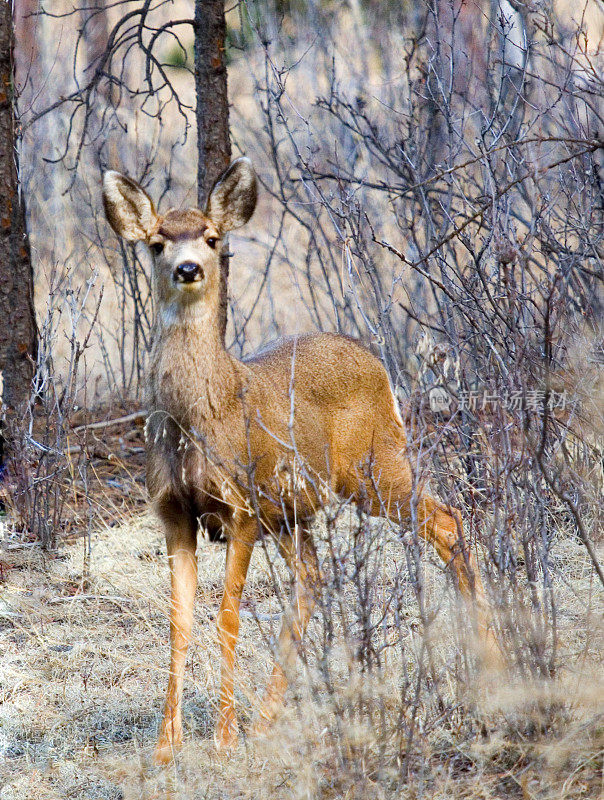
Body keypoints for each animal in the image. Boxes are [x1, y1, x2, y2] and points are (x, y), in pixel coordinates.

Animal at [102, 156, 500, 764]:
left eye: (212, 237)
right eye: (156, 242)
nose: (189, 268)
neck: (203, 416)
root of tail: (377, 363)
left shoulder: (242, 506)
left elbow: (228, 617)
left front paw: (223, 741)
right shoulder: (173, 512)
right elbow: (178, 622)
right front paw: (166, 749)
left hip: (376, 465)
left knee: (447, 519)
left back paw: (494, 659)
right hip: (295, 511)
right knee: (313, 579)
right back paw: (268, 718)